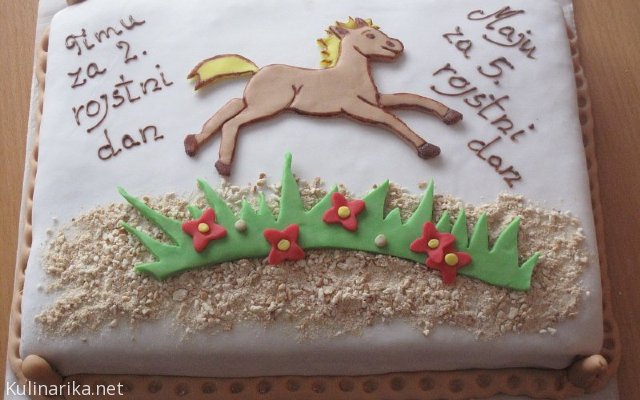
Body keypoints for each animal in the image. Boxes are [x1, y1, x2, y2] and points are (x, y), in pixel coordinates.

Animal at [184, 17, 463, 176]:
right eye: (370, 35)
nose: (397, 45)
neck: (351, 74)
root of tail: (257, 70)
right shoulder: (353, 106)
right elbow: (391, 119)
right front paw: (427, 147)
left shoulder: (377, 98)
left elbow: (413, 97)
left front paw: (450, 114)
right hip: (269, 104)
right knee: (232, 121)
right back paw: (222, 164)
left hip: (257, 102)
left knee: (230, 106)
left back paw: (193, 142)